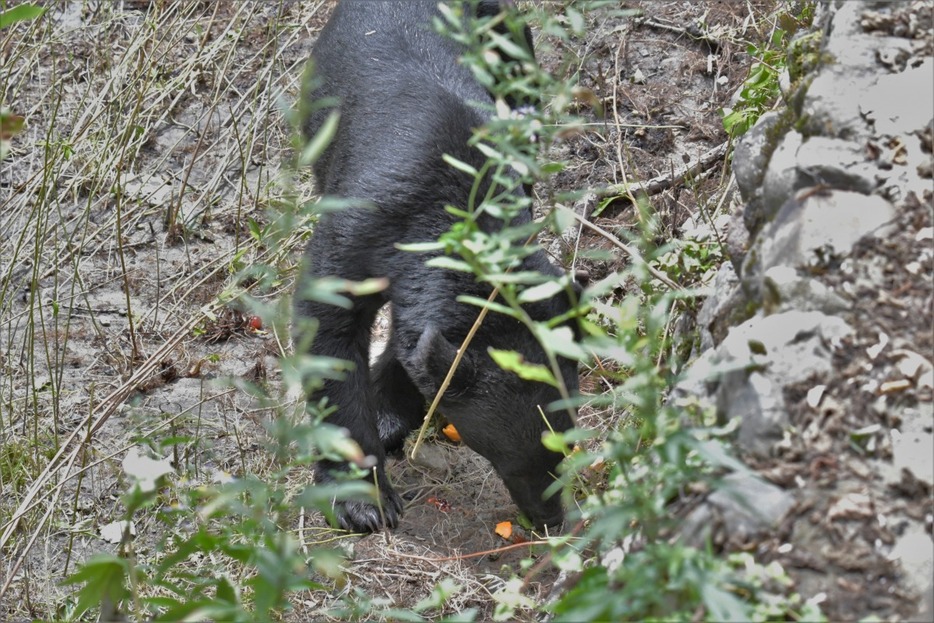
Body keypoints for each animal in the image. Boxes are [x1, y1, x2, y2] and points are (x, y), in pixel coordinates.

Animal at [296, 1, 580, 532]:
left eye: (563, 451)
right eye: (516, 462)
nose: (549, 518)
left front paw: (389, 415)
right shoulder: (363, 221)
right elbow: (328, 321)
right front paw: (365, 500)